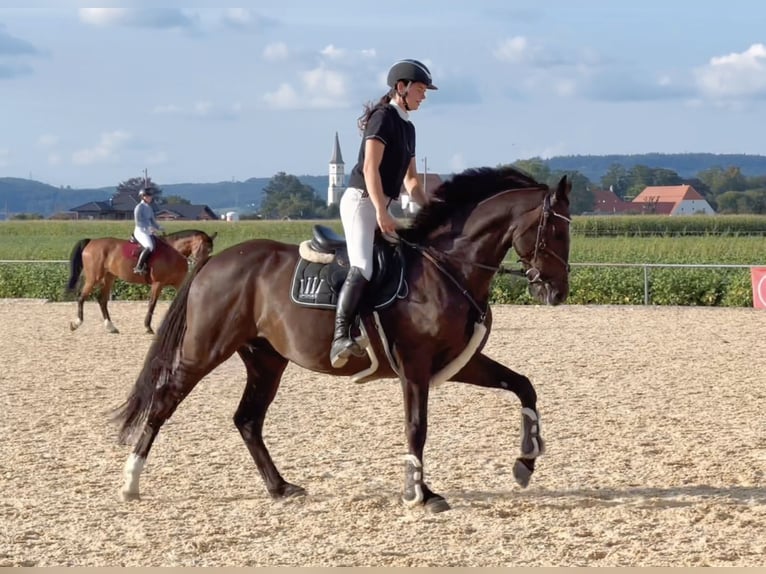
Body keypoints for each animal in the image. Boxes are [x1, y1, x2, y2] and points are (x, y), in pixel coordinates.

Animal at [66, 230, 216, 336]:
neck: (174, 253)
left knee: (102, 300)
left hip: (109, 277)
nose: (202, 266)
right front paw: (148, 327)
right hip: (94, 277)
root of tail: (91, 242)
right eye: (203, 248)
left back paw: (111, 327)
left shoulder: (179, 283)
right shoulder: (158, 283)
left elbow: (183, 302)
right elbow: (152, 304)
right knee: (81, 297)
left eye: (210, 250)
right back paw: (76, 323)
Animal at [112, 166, 568, 512]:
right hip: (204, 351)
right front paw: (420, 494)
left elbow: (524, 386)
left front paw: (525, 463)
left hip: (265, 360)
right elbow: (416, 427)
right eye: (554, 232)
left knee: (247, 420)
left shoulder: (460, 362)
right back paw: (130, 481)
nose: (557, 292)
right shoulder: (415, 366)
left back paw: (280, 487)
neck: (447, 267)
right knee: (165, 399)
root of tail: (214, 262)